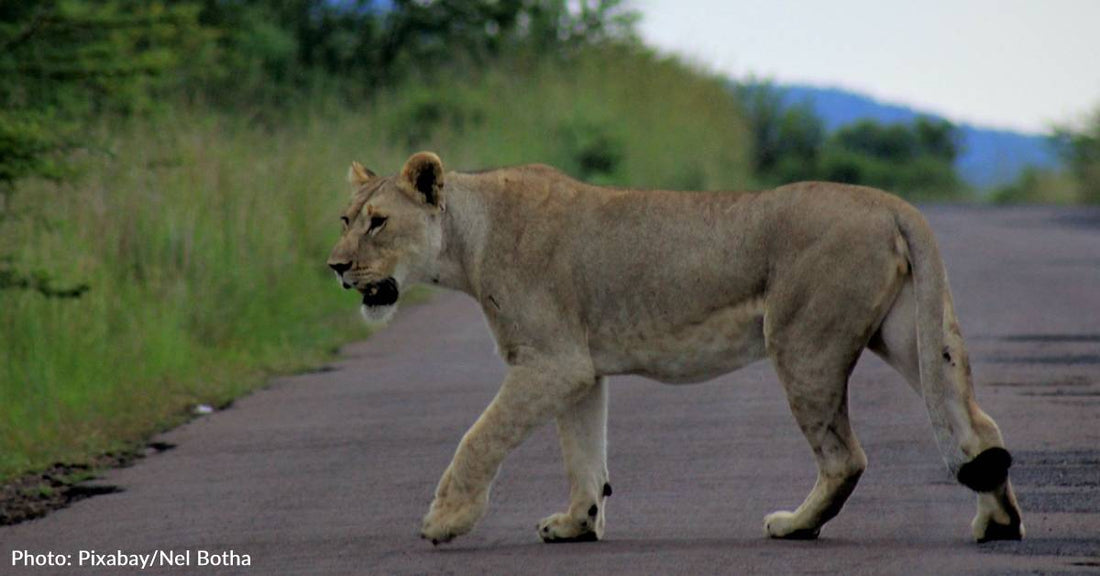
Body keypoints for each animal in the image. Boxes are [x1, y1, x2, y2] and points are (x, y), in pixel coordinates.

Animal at [327, 152, 1025, 545]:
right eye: (345, 219)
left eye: (379, 222)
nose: (334, 267)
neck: (467, 242)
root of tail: (889, 202)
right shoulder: (580, 369)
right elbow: (584, 454)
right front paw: (577, 525)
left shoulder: (549, 360)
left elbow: (479, 438)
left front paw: (445, 521)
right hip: (908, 335)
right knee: (978, 428)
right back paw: (998, 525)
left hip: (803, 342)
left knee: (845, 456)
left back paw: (796, 526)